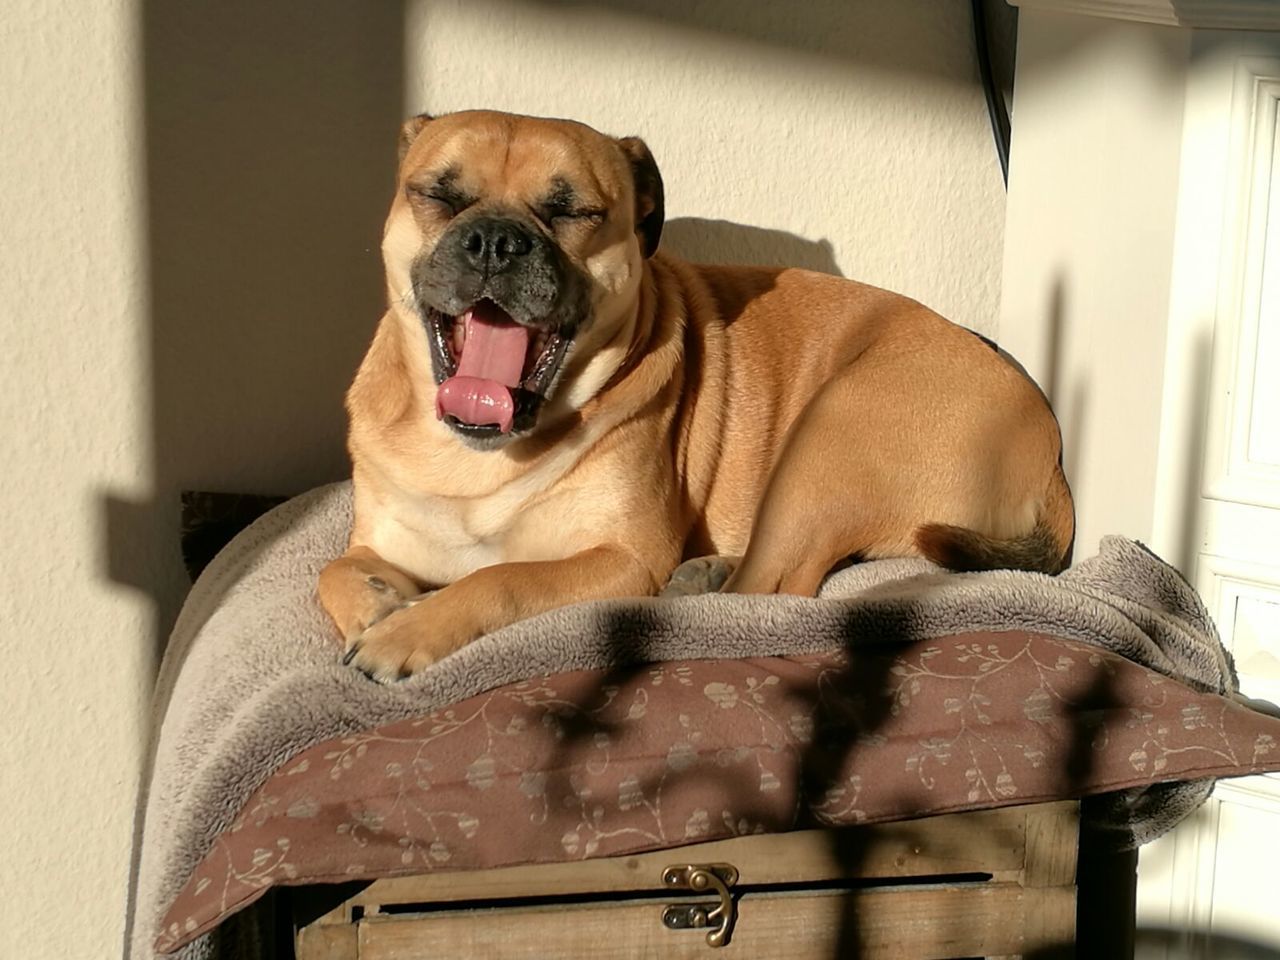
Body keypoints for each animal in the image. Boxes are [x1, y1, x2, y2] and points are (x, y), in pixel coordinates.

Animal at [317, 108, 1070, 680]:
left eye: (573, 211)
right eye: (438, 195)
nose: (496, 242)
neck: (480, 458)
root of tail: (1052, 451)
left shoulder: (620, 559)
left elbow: (500, 578)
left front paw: (407, 631)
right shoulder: (379, 542)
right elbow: (333, 568)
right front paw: (381, 607)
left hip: (831, 433)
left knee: (777, 588)